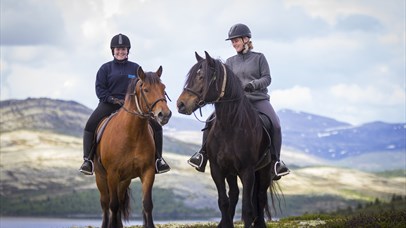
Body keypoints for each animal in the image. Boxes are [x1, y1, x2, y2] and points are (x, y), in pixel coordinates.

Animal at [95, 66, 171, 228]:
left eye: (163, 88)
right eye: (146, 90)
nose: (165, 114)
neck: (132, 133)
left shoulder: (148, 171)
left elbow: (147, 204)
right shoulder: (112, 174)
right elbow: (113, 205)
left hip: (124, 180)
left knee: (119, 201)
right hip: (101, 177)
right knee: (105, 204)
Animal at [176, 52, 278, 228]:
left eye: (201, 76)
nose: (180, 104)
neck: (230, 126)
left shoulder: (247, 171)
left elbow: (247, 208)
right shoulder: (217, 169)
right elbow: (224, 201)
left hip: (264, 170)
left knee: (260, 196)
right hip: (231, 172)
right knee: (235, 194)